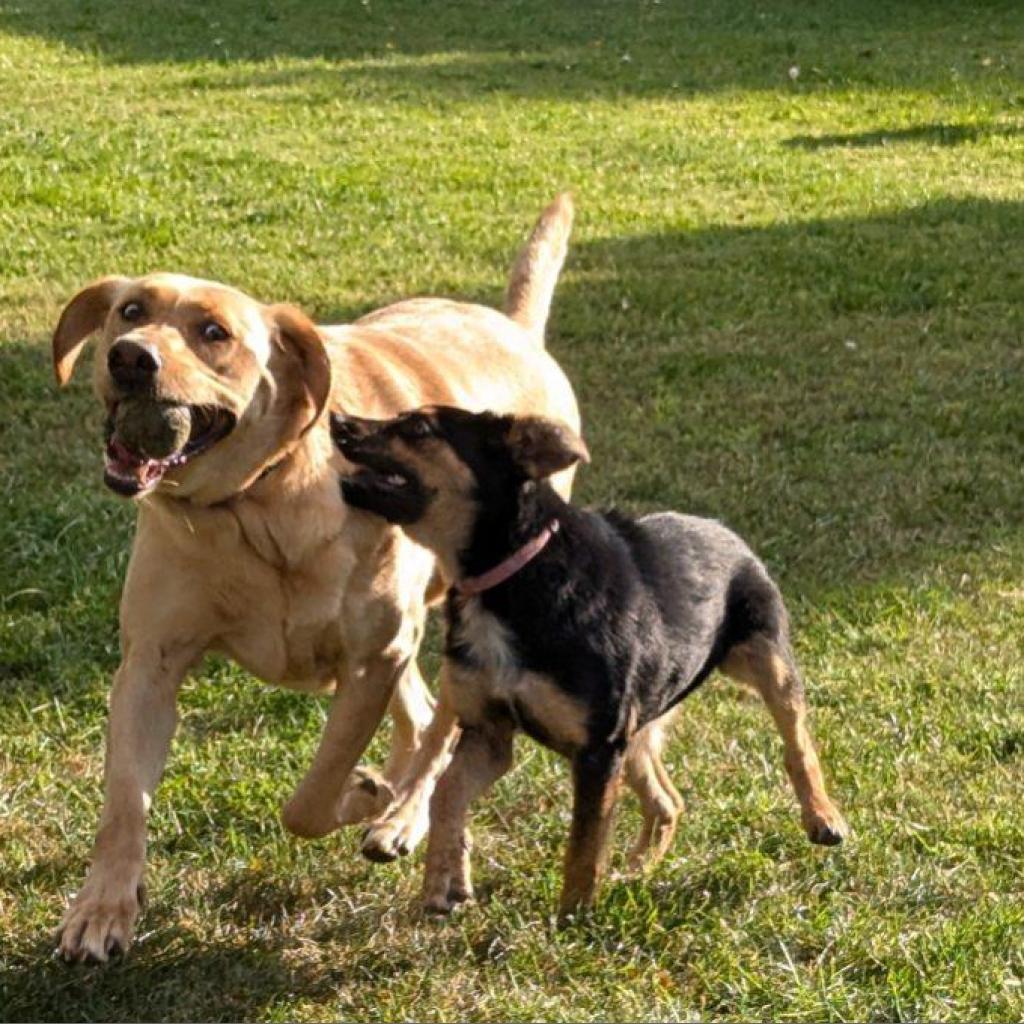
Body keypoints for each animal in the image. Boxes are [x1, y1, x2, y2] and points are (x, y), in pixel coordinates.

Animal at [333, 407, 847, 921]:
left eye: (420, 428)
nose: (338, 421)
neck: (510, 574)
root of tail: (722, 527)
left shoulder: (598, 748)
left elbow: (583, 842)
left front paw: (573, 918)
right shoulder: (490, 732)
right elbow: (446, 792)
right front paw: (444, 884)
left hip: (764, 659)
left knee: (797, 740)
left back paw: (823, 816)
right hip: (638, 728)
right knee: (667, 802)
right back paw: (635, 873)